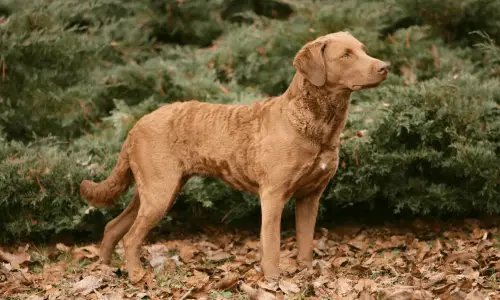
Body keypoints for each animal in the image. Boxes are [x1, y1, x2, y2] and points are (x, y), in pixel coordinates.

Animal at [80, 31, 388, 284]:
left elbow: (305, 242)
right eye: (345, 55)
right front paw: (273, 280)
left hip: (154, 190)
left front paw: (306, 273)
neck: (314, 126)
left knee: (113, 227)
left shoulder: (310, 196)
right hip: (159, 191)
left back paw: (104, 270)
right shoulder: (273, 195)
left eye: (363, 49)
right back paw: (136, 275)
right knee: (130, 237)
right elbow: (272, 244)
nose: (385, 67)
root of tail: (136, 125)